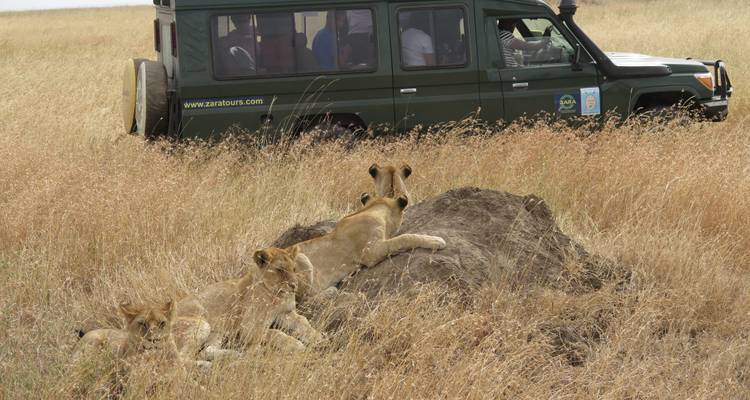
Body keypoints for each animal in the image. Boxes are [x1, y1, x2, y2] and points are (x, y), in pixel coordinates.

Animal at [173, 246, 323, 360]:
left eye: (293, 269)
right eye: (280, 270)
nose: (294, 285)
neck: (276, 296)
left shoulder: (286, 312)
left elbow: (302, 322)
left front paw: (317, 337)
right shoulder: (248, 327)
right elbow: (274, 332)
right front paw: (295, 344)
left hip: (217, 332)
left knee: (205, 351)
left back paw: (234, 355)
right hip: (201, 324)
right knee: (180, 360)